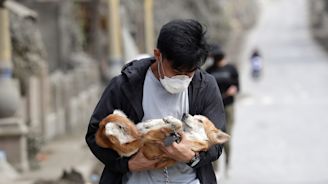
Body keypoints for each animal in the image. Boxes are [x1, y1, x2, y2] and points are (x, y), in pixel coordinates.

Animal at [94, 109, 228, 168]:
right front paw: (164, 120)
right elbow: (172, 123)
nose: (185, 113)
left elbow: (178, 124)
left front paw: (170, 122)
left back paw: (113, 127)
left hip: (129, 145)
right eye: (195, 115)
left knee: (117, 137)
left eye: (200, 121)